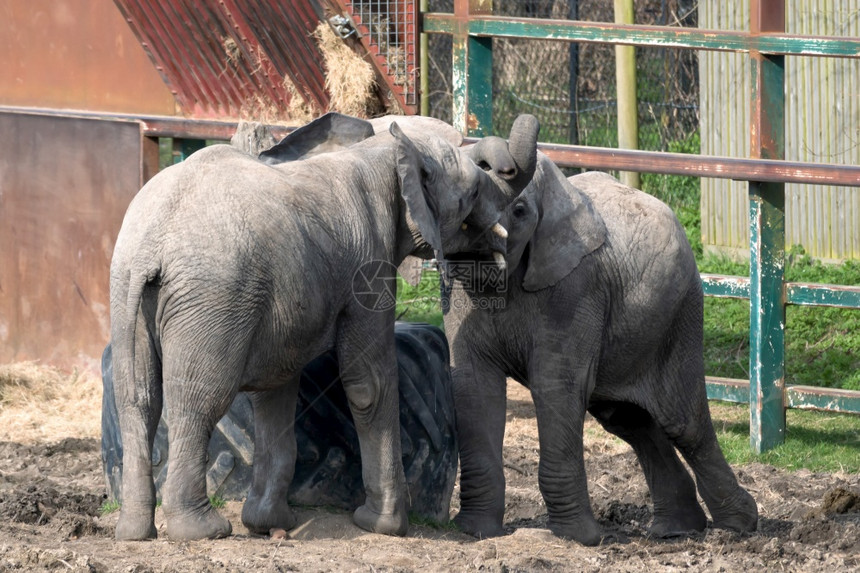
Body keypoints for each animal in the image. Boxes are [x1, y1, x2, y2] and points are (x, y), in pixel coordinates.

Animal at [107, 113, 536, 540]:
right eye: (474, 192)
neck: (386, 147)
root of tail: (150, 244)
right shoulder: (369, 266)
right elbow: (368, 384)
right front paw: (384, 525)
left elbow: (276, 391)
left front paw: (270, 524)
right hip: (213, 295)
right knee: (199, 400)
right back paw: (202, 529)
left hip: (127, 290)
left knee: (137, 399)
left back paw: (134, 531)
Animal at [440, 136, 756, 544]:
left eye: (520, 211)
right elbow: (473, 383)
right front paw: (475, 531)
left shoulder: (577, 287)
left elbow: (556, 384)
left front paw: (577, 538)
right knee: (628, 419)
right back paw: (676, 529)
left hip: (681, 314)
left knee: (682, 423)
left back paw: (741, 524)